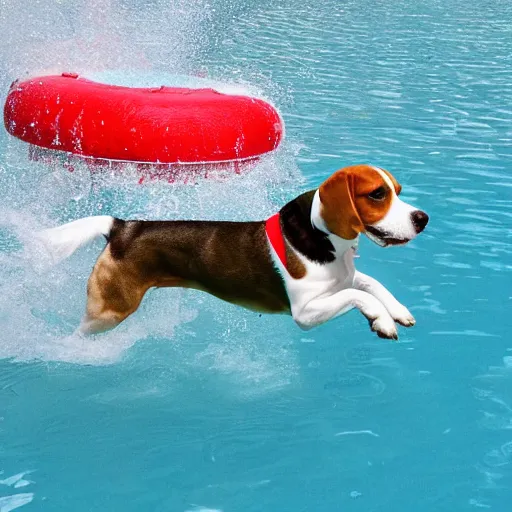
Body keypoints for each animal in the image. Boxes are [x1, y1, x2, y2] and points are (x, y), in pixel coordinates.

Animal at [38, 165, 426, 340]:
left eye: (397, 190)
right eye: (377, 194)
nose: (423, 218)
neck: (324, 239)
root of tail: (123, 227)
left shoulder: (344, 279)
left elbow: (371, 285)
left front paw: (398, 311)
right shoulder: (305, 313)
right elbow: (359, 296)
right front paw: (381, 319)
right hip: (109, 312)